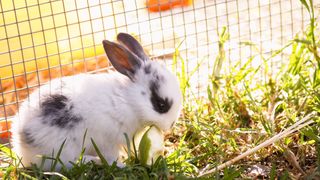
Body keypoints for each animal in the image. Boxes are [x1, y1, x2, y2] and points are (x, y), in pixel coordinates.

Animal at [10, 32, 182, 170]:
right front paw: (122, 165)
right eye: (161, 105)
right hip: (63, 150)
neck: (128, 101)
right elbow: (111, 157)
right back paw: (91, 161)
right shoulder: (108, 141)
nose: (171, 125)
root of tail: (20, 146)